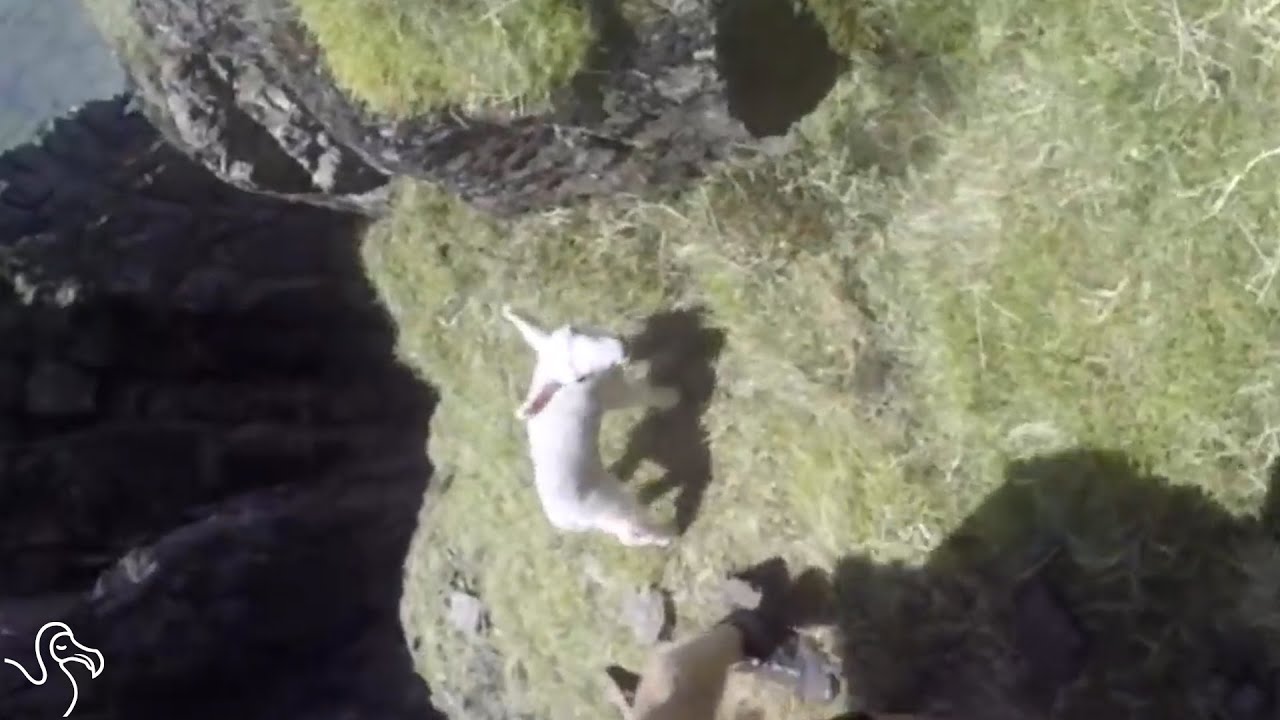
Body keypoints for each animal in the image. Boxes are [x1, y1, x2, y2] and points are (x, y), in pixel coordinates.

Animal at [501, 303, 680, 547]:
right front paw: (674, 397)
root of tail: (564, 520)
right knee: (632, 531)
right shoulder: (615, 392)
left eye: (574, 329)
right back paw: (669, 534)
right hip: (608, 503)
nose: (622, 346)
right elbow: (643, 395)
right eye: (580, 378)